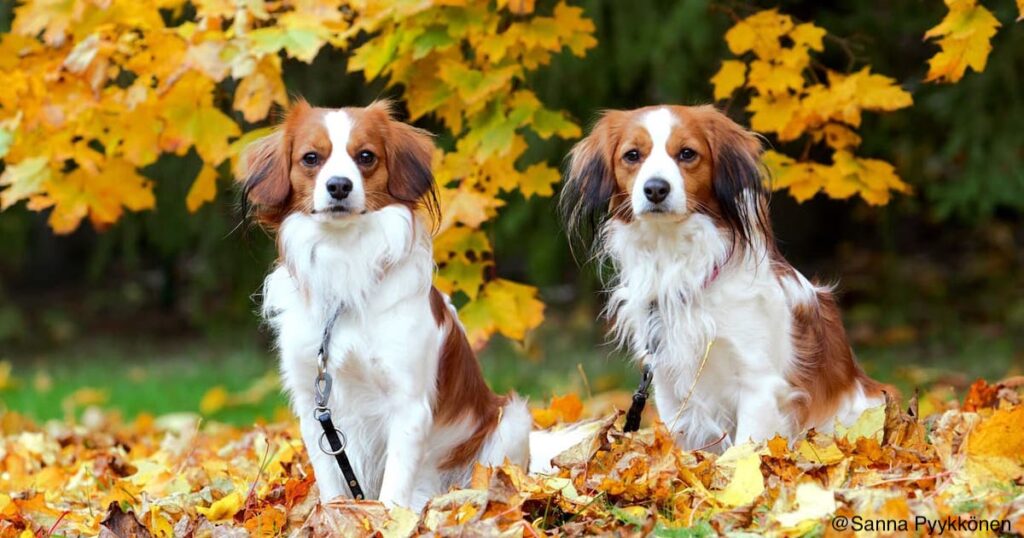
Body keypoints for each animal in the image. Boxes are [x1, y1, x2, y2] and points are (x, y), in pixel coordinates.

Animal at [237, 100, 536, 508]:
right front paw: (333, 515)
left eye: (366, 156)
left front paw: (390, 517)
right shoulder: (313, 403)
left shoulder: (408, 403)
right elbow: (332, 485)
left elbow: (394, 488)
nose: (339, 186)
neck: (345, 261)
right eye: (311, 158)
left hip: (512, 419)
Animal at [557, 104, 884, 448]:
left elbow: (743, 451)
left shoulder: (757, 383)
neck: (678, 261)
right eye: (632, 155)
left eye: (687, 153)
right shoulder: (668, 383)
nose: (656, 189)